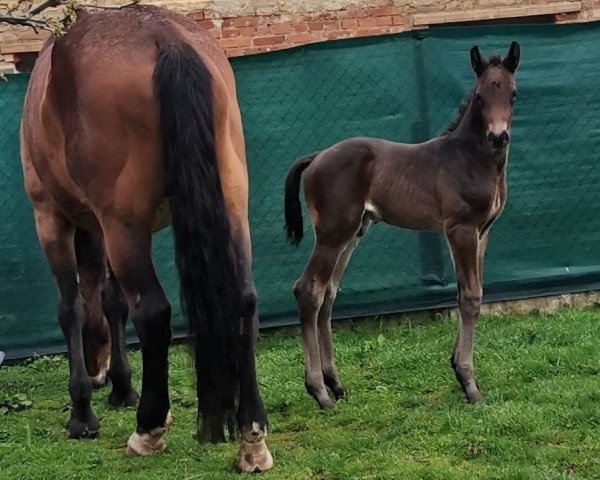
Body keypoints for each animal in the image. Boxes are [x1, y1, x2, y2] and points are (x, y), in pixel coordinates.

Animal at [21, 4, 274, 472]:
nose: (98, 372)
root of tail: (165, 38)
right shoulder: (102, 229)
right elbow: (111, 300)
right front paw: (121, 388)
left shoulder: (52, 218)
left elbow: (73, 307)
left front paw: (82, 414)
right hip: (230, 207)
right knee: (244, 299)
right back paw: (252, 436)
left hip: (123, 225)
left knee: (153, 311)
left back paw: (148, 430)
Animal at [286, 41, 520, 410]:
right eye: (480, 96)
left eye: (512, 93)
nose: (498, 137)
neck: (471, 158)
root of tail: (316, 157)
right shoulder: (461, 229)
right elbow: (470, 296)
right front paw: (469, 384)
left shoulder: (483, 232)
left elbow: (468, 293)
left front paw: (458, 370)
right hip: (333, 233)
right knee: (308, 290)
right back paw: (319, 393)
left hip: (353, 235)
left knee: (328, 294)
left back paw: (336, 385)